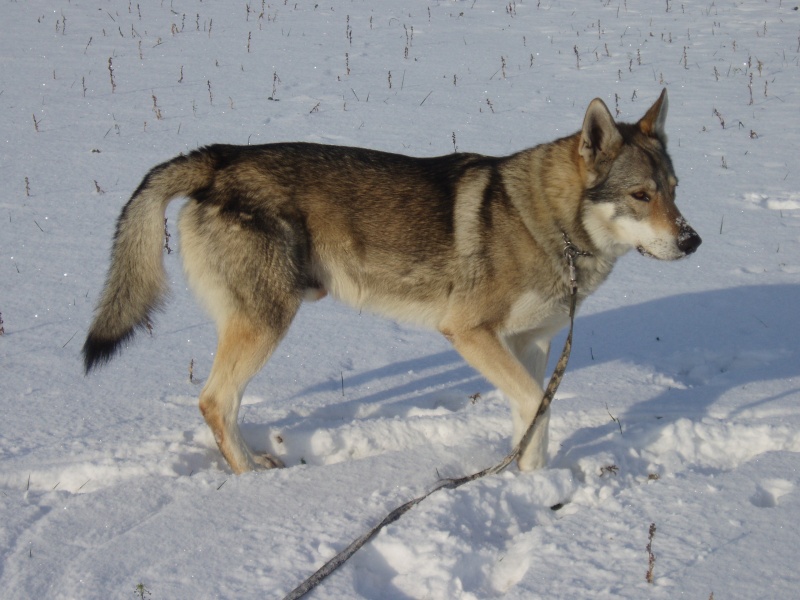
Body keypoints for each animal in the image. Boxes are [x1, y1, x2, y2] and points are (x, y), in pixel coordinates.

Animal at [83, 89, 700, 474]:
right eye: (640, 195)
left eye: (674, 190)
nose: (692, 241)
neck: (549, 225)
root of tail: (218, 157)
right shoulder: (469, 332)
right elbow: (537, 407)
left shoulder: (531, 344)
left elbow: (532, 418)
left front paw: (531, 482)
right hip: (267, 322)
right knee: (214, 401)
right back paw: (253, 479)